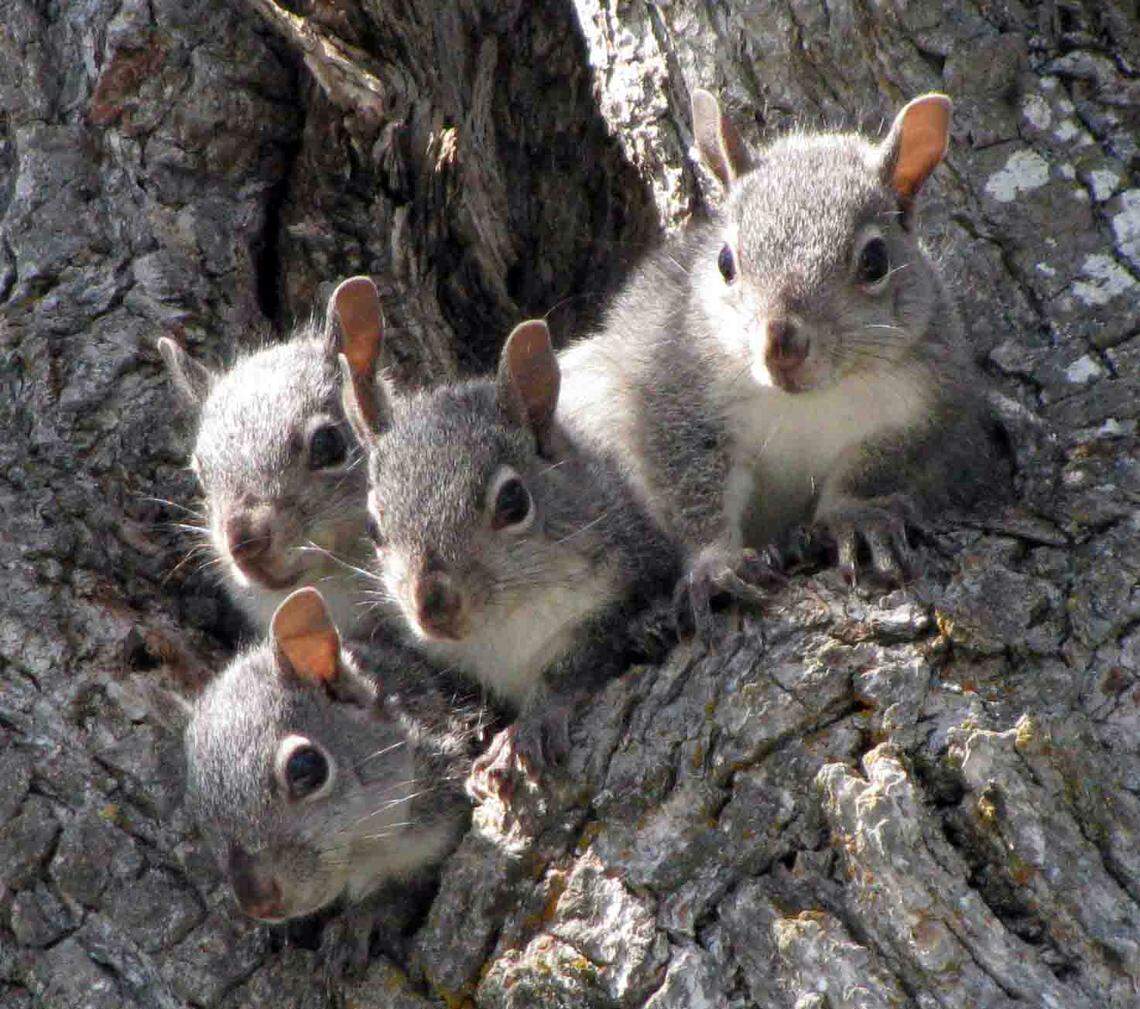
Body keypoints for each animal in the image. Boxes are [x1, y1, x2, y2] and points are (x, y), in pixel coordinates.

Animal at [184, 587, 482, 969]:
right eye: (196, 806)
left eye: (305, 767)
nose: (258, 903)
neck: (366, 848)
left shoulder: (440, 827)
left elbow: (402, 892)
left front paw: (362, 920)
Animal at [339, 317, 680, 784]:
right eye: (373, 527)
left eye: (514, 502)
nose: (432, 607)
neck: (502, 627)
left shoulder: (618, 587)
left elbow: (573, 667)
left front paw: (529, 728)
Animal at [557, 90, 1005, 628]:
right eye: (725, 262)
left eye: (875, 261)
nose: (782, 346)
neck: (805, 401)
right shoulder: (672, 391)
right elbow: (689, 483)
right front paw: (717, 563)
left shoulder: (928, 405)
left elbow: (880, 466)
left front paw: (856, 517)